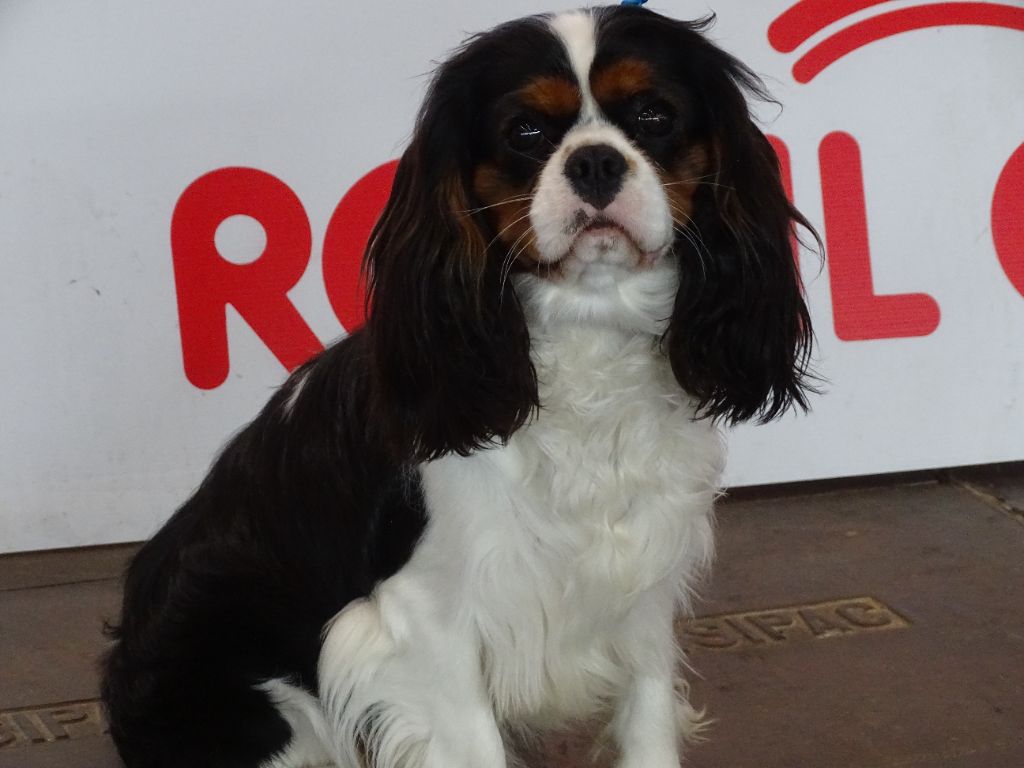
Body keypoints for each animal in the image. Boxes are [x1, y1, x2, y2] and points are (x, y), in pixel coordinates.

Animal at [102, 5, 815, 767]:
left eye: (655, 116)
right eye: (525, 131)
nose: (596, 161)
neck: (587, 329)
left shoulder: (641, 587)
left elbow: (647, 719)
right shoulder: (424, 622)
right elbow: (475, 744)